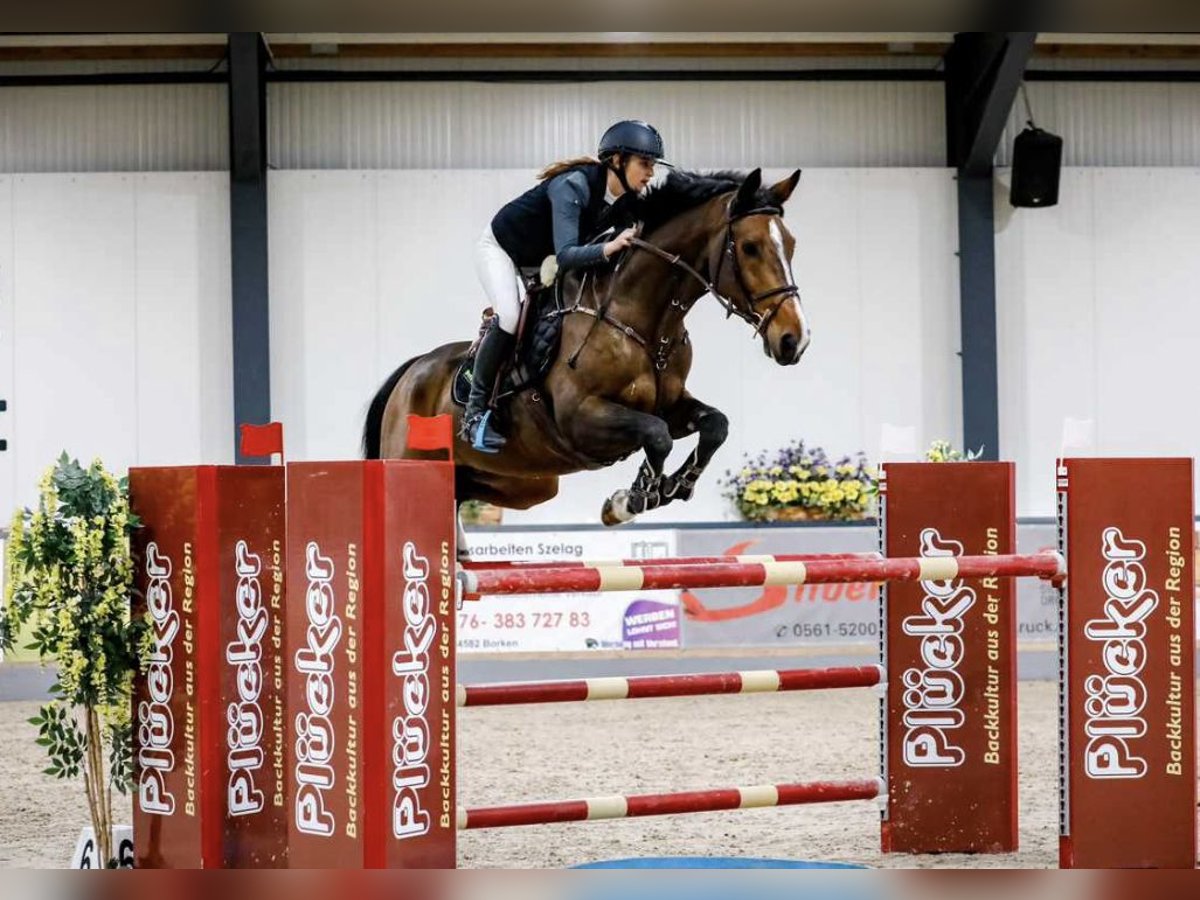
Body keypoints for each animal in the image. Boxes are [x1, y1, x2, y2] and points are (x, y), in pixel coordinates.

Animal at [360, 168, 811, 532]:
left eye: (790, 245)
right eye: (750, 247)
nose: (795, 339)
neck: (642, 319)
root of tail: (411, 372)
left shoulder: (671, 404)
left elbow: (714, 425)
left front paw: (671, 487)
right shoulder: (582, 417)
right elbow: (657, 435)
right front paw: (630, 500)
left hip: (527, 483)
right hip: (413, 462)